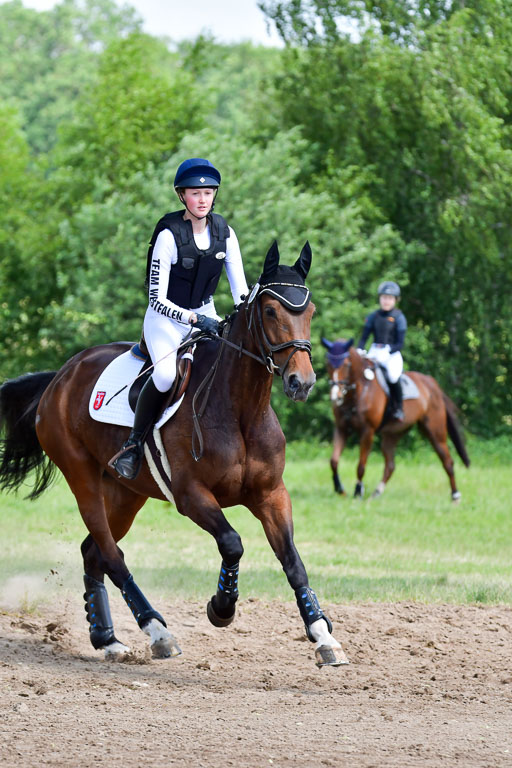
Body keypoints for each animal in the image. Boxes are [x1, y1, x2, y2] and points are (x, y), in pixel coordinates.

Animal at [0, 242, 348, 668]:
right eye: (270, 311)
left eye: (309, 311)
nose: (303, 382)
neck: (241, 411)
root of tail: (60, 377)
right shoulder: (191, 495)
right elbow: (232, 542)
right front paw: (221, 607)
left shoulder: (271, 495)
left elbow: (293, 562)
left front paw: (322, 635)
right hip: (82, 479)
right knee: (111, 555)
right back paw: (157, 631)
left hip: (125, 494)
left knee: (93, 552)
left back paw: (107, 638)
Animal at [321, 338, 470, 502]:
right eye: (328, 363)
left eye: (346, 364)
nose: (336, 395)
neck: (356, 394)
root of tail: (432, 383)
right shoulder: (341, 428)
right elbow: (333, 461)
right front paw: (340, 489)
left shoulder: (367, 431)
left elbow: (361, 465)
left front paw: (358, 492)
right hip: (392, 434)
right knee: (390, 465)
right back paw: (376, 493)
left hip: (435, 432)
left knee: (447, 461)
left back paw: (455, 496)